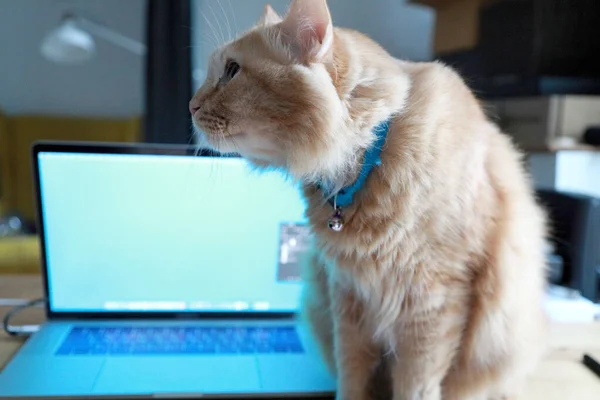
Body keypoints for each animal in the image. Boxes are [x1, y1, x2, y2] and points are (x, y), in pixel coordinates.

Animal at [190, 1, 552, 398]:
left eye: (232, 71)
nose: (190, 105)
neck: (365, 161)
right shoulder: (348, 298)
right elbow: (352, 376)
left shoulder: (434, 303)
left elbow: (416, 385)